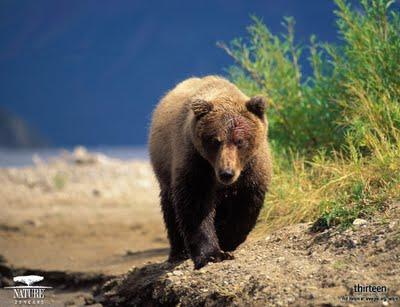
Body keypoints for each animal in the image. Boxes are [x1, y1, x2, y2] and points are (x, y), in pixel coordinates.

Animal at [149, 74, 272, 270]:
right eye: (215, 141)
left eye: (240, 141)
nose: (226, 173)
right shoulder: (196, 162)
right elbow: (196, 207)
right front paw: (212, 254)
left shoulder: (252, 168)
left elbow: (246, 206)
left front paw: (227, 240)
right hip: (164, 166)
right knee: (170, 207)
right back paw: (178, 251)